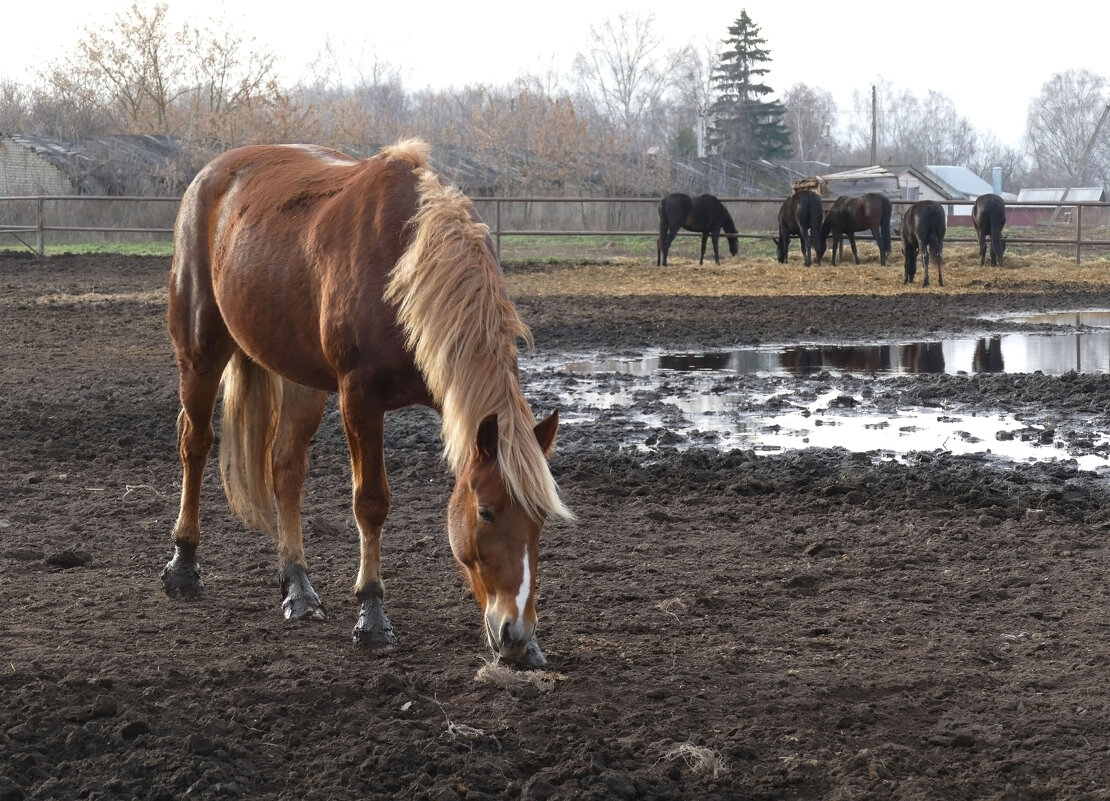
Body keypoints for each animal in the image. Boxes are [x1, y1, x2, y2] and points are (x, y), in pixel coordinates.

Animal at [162, 140, 572, 665]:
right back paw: (183, 564)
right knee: (195, 443)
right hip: (200, 348)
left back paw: (298, 587)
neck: (406, 266)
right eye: (486, 512)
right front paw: (372, 615)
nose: (515, 634)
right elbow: (371, 503)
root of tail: (214, 172)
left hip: (300, 376)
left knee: (285, 468)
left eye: (540, 519)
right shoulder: (359, 398)